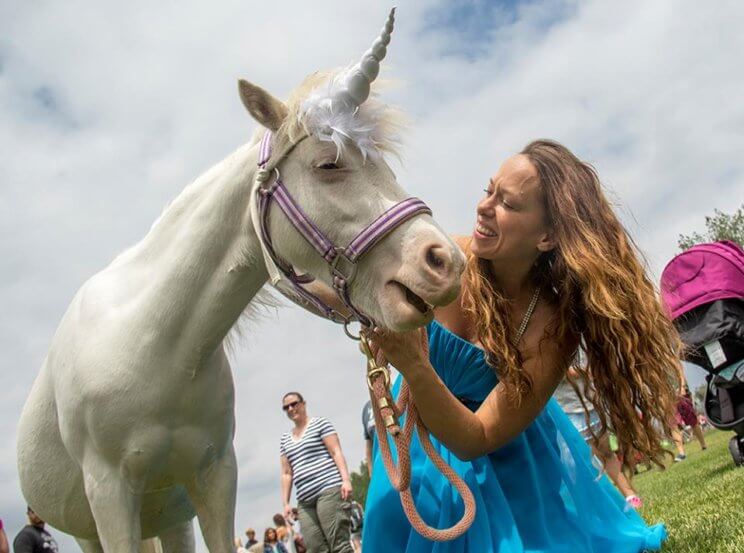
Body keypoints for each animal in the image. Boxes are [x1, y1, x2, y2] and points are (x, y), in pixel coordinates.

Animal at [17, 10, 464, 552]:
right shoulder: (109, 495)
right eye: (328, 164)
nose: (444, 261)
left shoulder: (214, 479)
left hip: (170, 519)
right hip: (92, 531)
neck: (154, 347)